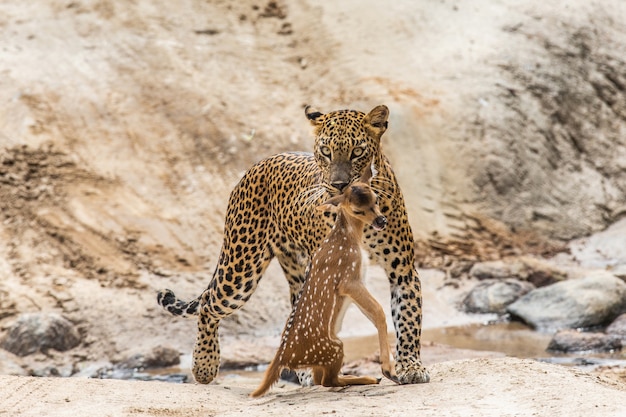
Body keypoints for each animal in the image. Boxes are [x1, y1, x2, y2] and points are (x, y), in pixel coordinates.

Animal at [156, 104, 428, 384]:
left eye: (357, 152)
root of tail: (258, 164)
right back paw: (204, 365)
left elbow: (408, 317)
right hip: (240, 268)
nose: (339, 185)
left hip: (294, 270)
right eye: (326, 151)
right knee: (209, 304)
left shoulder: (402, 270)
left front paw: (411, 366)